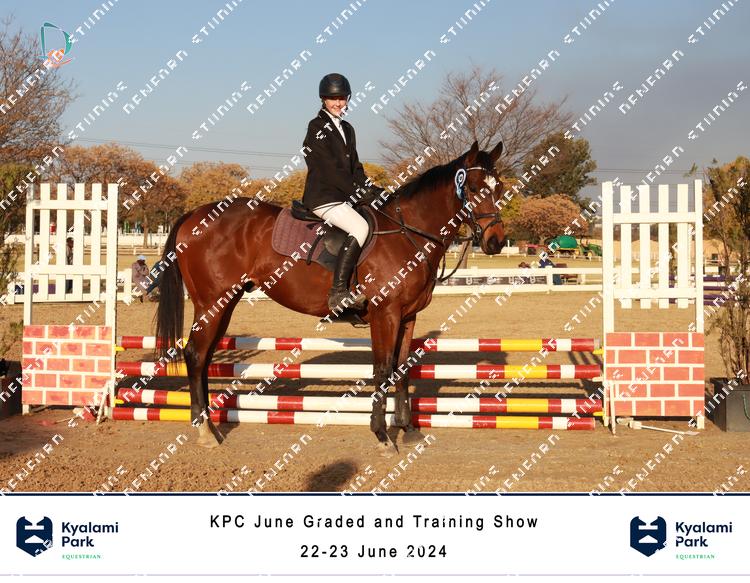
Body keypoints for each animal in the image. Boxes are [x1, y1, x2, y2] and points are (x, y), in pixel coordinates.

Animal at [155, 139, 506, 452]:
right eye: (474, 188)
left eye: (500, 188)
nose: (496, 242)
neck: (409, 234)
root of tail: (193, 215)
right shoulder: (385, 314)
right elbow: (382, 370)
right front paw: (382, 435)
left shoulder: (408, 316)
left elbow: (402, 369)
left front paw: (407, 429)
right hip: (212, 303)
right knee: (195, 355)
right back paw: (205, 431)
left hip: (225, 304)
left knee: (203, 357)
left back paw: (208, 425)